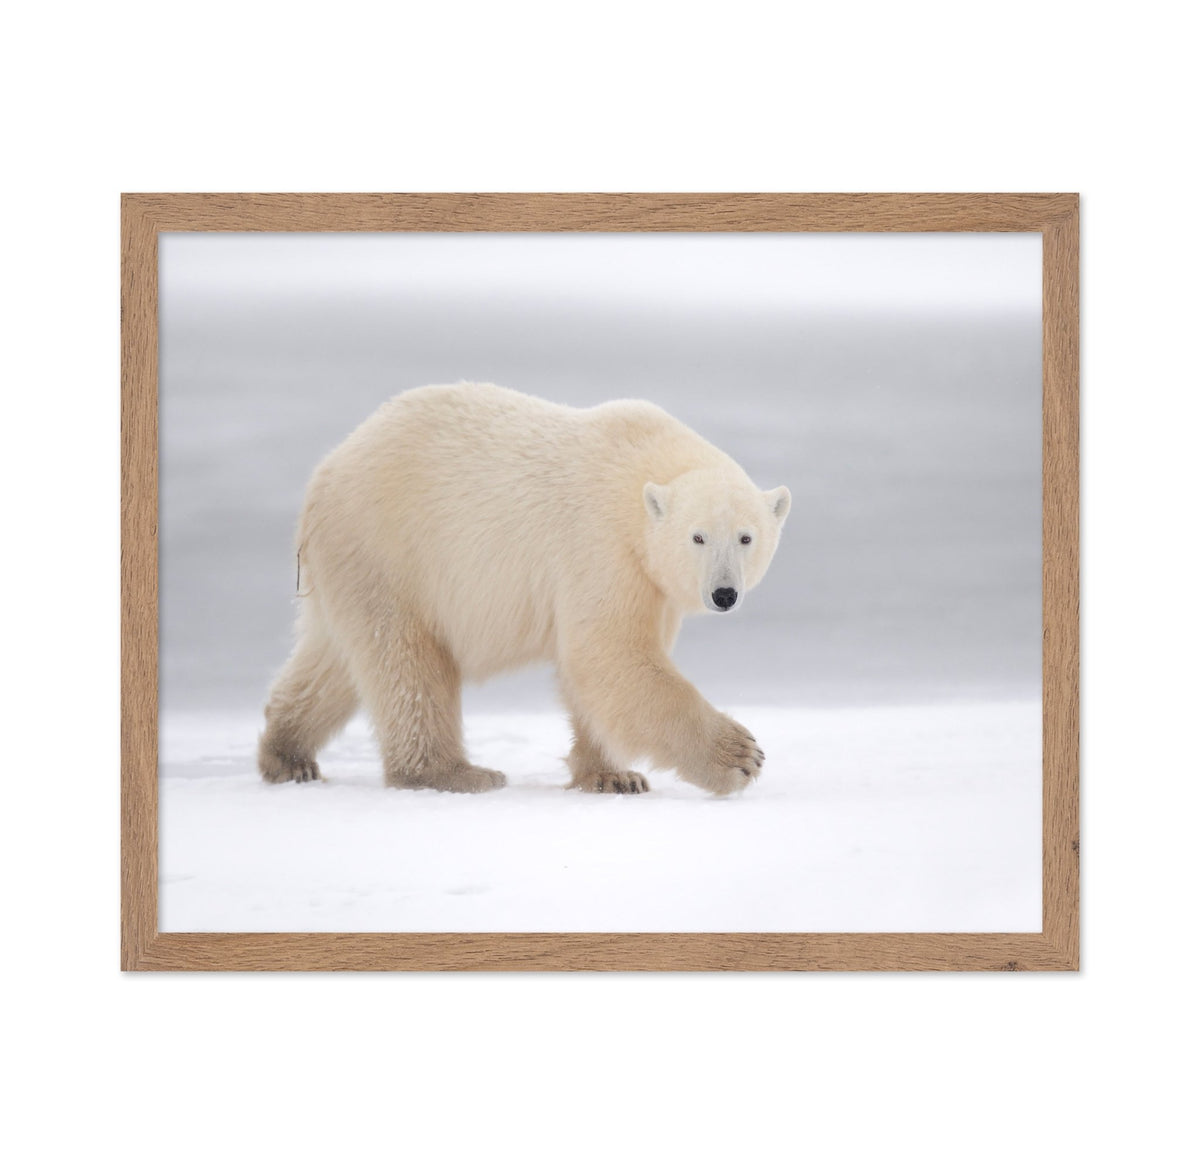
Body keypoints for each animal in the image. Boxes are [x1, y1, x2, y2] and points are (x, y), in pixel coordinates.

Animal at [258, 382, 791, 796]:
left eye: (746, 537)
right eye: (697, 537)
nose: (724, 594)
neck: (639, 470)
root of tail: (324, 476)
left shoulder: (652, 583)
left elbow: (600, 670)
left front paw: (613, 776)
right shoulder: (601, 546)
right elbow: (609, 653)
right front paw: (740, 756)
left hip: (353, 567)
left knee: (333, 662)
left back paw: (287, 754)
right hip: (392, 550)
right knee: (408, 666)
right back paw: (456, 773)